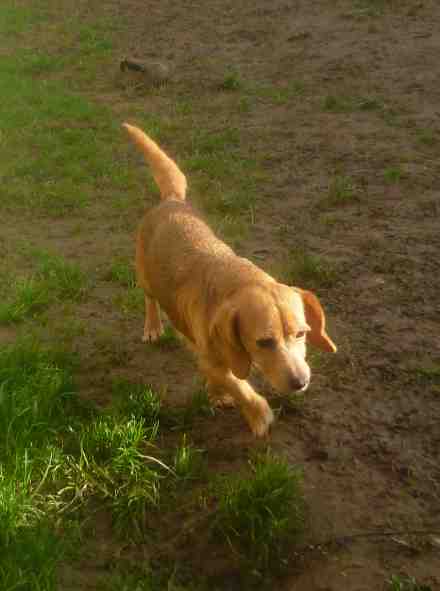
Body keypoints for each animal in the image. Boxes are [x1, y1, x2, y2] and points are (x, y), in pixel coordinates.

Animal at [122, 123, 336, 440]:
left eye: (302, 333)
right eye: (264, 342)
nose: (301, 382)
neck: (236, 281)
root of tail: (171, 200)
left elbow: (226, 380)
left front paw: (219, 394)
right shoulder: (211, 359)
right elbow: (239, 386)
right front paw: (258, 414)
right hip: (145, 277)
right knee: (149, 299)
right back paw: (152, 327)